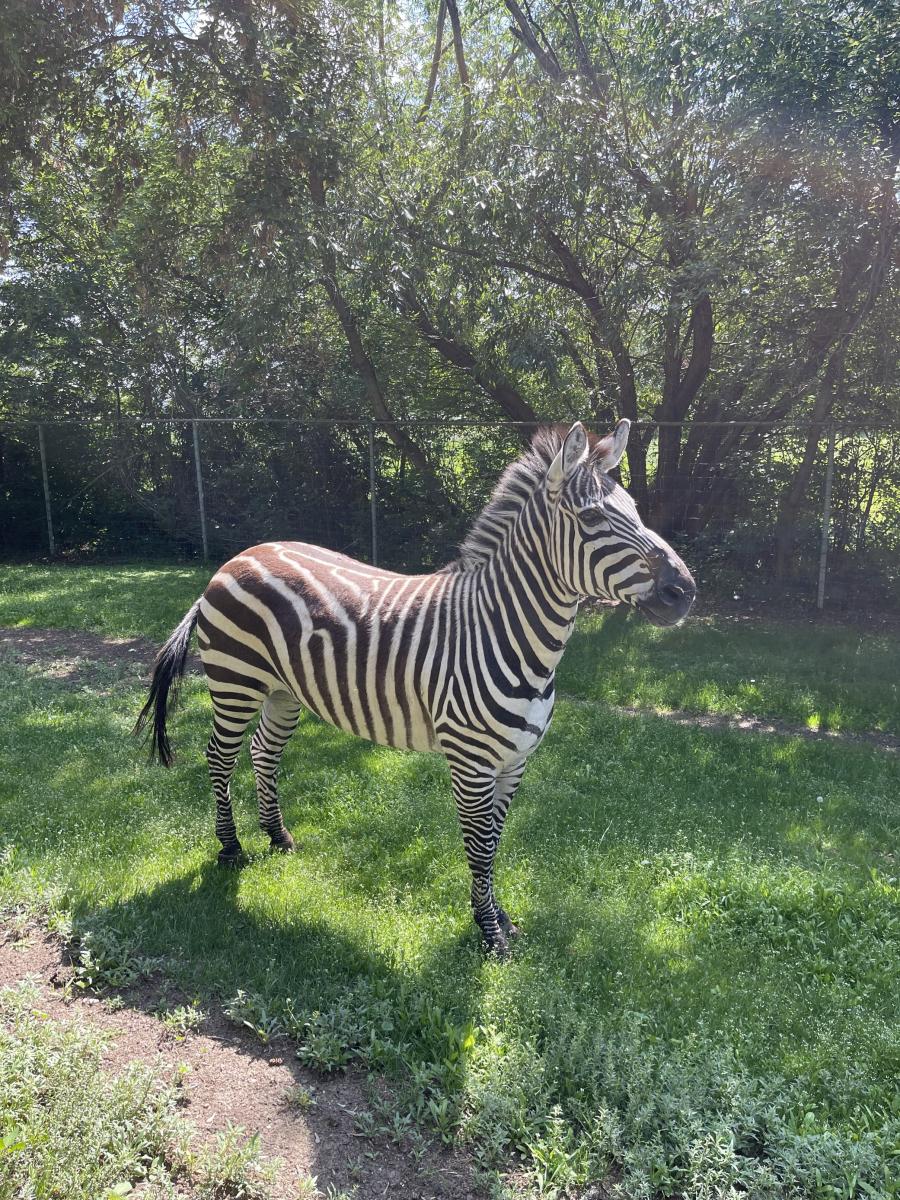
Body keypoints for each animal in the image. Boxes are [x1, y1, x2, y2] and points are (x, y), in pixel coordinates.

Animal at [135, 422, 696, 955]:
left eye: (636, 511)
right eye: (592, 520)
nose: (684, 592)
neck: (508, 632)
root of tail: (236, 558)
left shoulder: (515, 761)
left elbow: (495, 839)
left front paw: (499, 918)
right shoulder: (471, 763)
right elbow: (479, 847)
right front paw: (489, 933)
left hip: (283, 691)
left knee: (263, 752)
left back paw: (278, 836)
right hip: (237, 682)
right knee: (219, 756)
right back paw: (231, 849)